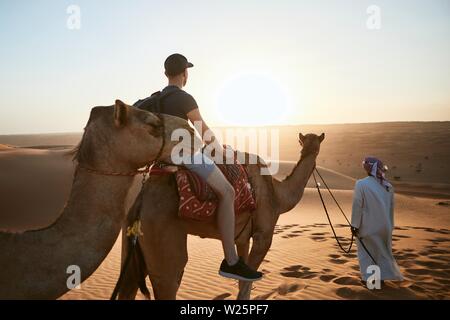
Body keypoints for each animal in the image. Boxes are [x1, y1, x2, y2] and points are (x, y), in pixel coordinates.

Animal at [118, 131, 326, 300]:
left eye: (315, 144)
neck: (278, 195)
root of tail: (139, 204)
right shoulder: (263, 236)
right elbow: (247, 284)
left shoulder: (242, 239)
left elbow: (243, 280)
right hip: (162, 241)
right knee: (169, 277)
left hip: (132, 244)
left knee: (127, 285)